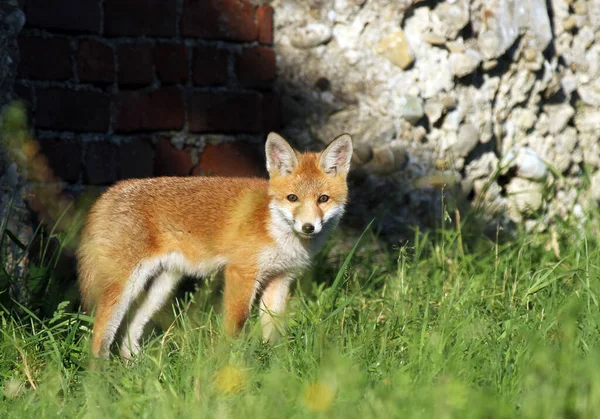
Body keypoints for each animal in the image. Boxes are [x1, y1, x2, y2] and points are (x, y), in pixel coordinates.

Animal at [77, 132, 354, 358]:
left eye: (323, 199)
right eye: (293, 198)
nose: (308, 227)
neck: (273, 226)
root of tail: (109, 192)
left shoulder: (280, 278)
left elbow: (272, 331)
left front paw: (272, 370)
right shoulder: (241, 273)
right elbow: (235, 325)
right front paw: (226, 366)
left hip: (162, 287)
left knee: (129, 332)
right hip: (125, 285)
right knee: (100, 334)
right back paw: (99, 381)